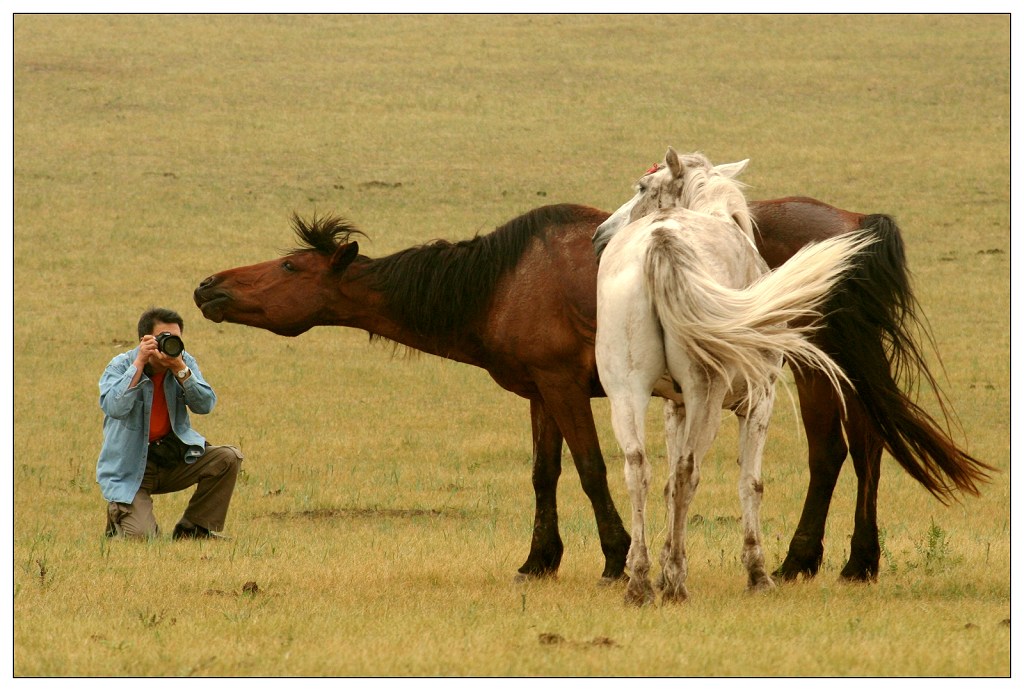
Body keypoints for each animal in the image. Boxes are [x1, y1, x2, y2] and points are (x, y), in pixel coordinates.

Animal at [193, 198, 991, 585]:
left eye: (291, 267)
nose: (208, 286)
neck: (504, 277)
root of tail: (853, 224)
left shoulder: (564, 388)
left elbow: (589, 470)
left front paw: (611, 556)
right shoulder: (541, 393)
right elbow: (545, 473)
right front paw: (538, 559)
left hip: (810, 364)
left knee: (839, 452)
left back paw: (811, 560)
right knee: (863, 448)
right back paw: (849, 560)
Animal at [598, 147, 876, 606]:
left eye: (642, 187)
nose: (599, 235)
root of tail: (661, 240)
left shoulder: (674, 408)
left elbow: (666, 485)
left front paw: (662, 563)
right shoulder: (759, 402)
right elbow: (751, 483)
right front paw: (757, 572)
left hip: (627, 390)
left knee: (638, 469)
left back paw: (640, 582)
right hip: (706, 397)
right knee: (687, 473)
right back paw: (676, 582)